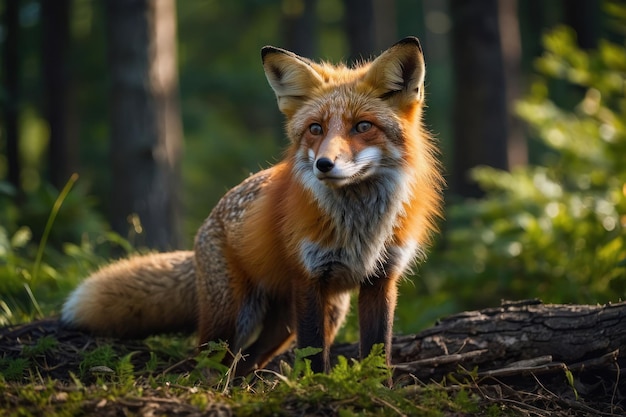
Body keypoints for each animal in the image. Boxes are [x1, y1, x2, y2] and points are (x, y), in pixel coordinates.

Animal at [61, 36, 442, 374]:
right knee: (205, 363)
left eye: (363, 126)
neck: (361, 226)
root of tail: (206, 226)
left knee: (248, 362)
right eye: (315, 129)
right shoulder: (308, 279)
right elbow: (314, 356)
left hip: (301, 320)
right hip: (234, 318)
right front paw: (319, 388)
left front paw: (378, 389)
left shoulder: (381, 279)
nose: (324, 165)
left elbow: (379, 353)